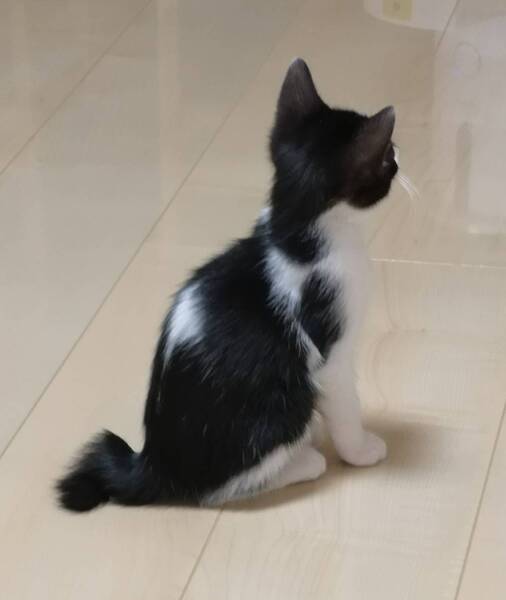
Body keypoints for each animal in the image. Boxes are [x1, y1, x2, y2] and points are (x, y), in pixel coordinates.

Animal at [57, 58, 398, 511]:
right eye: (387, 156)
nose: (399, 156)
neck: (297, 233)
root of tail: (155, 464)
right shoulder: (331, 344)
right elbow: (344, 403)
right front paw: (360, 450)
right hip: (282, 404)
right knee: (218, 489)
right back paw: (302, 462)